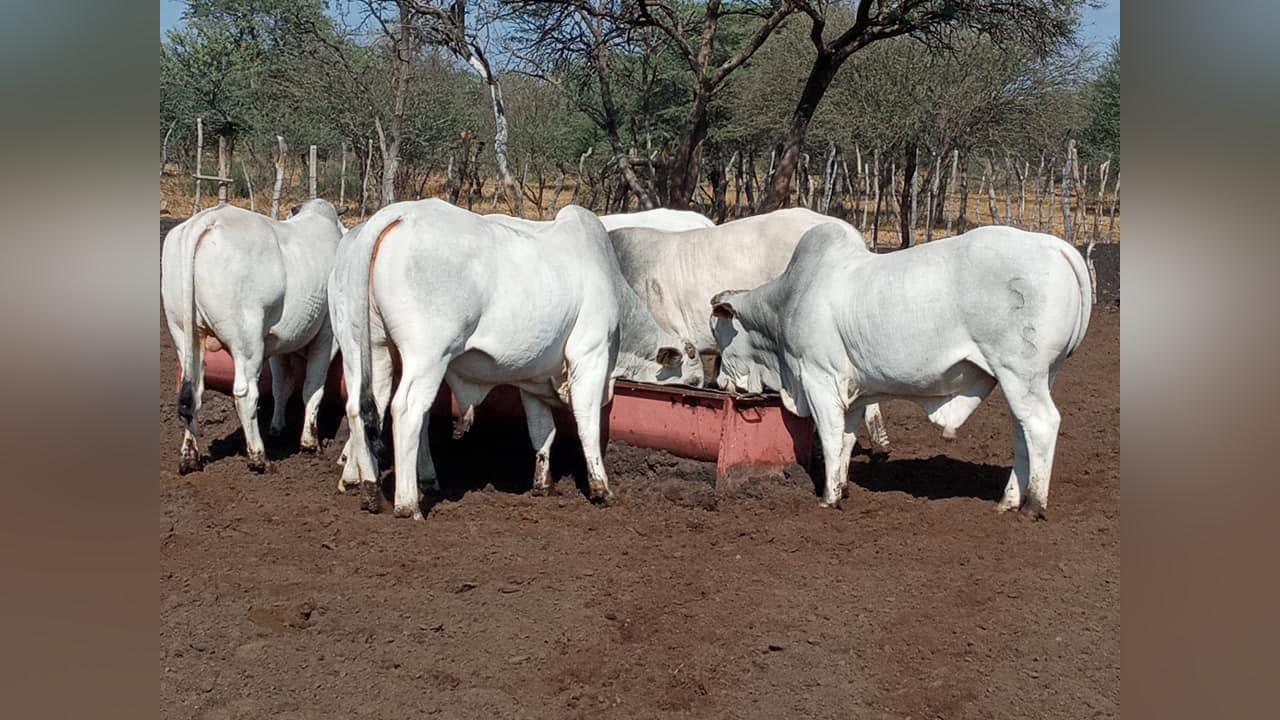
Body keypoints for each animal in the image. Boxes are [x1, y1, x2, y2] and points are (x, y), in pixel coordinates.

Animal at [159, 198, 340, 474]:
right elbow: (312, 387)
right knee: (245, 393)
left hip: (183, 332)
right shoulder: (326, 337)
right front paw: (310, 442)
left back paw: (189, 457)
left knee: (191, 393)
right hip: (247, 341)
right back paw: (258, 456)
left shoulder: (279, 343)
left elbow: (281, 385)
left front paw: (277, 429)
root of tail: (205, 220)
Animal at [345, 198, 634, 517]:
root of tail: (399, 213)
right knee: (406, 409)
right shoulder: (590, 352)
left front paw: (542, 484)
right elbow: (587, 423)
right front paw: (601, 489)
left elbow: (542, 429)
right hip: (427, 355)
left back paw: (371, 493)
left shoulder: (532, 375)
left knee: (361, 407)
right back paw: (408, 504)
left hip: (368, 346)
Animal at [711, 224, 1090, 515]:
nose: (719, 381)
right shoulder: (852, 391)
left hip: (1020, 372)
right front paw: (843, 487)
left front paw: (828, 498)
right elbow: (847, 439)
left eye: (719, 334)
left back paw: (1033, 505)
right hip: (1037, 377)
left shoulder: (819, 379)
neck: (786, 302)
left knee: (1041, 424)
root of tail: (1053, 245)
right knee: (1022, 431)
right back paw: (1009, 500)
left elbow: (831, 438)